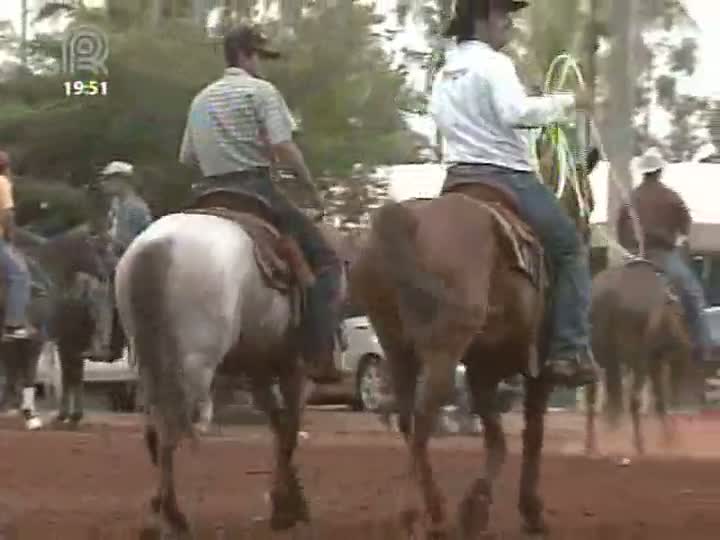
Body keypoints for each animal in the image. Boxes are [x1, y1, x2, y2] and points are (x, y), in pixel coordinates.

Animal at [352, 139, 600, 536]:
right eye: (587, 198)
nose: (588, 236)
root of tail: (410, 222)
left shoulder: (483, 371)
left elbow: (496, 438)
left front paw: (475, 507)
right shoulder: (537, 375)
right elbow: (532, 436)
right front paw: (530, 511)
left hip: (396, 345)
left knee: (407, 418)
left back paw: (436, 511)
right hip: (442, 349)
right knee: (423, 415)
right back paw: (412, 514)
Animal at [584, 258, 692, 456]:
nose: (685, 346)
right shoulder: (652, 360)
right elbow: (658, 398)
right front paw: (669, 439)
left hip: (598, 358)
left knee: (593, 399)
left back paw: (591, 445)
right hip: (639, 361)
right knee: (634, 399)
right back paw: (640, 444)